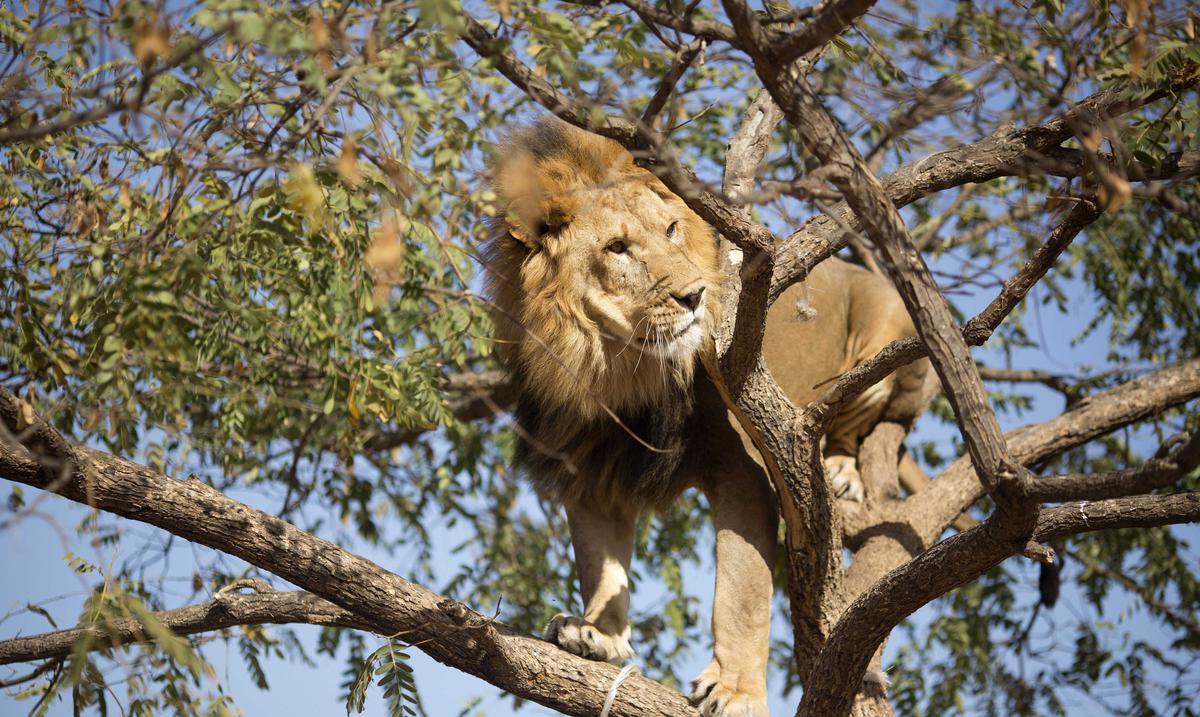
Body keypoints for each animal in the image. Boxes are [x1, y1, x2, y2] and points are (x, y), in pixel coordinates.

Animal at [483, 118, 930, 716]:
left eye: (672, 229)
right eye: (617, 248)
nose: (694, 295)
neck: (616, 369)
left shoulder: (745, 470)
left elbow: (741, 592)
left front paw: (736, 689)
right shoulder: (590, 464)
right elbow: (601, 562)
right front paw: (598, 634)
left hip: (882, 340)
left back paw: (839, 470)